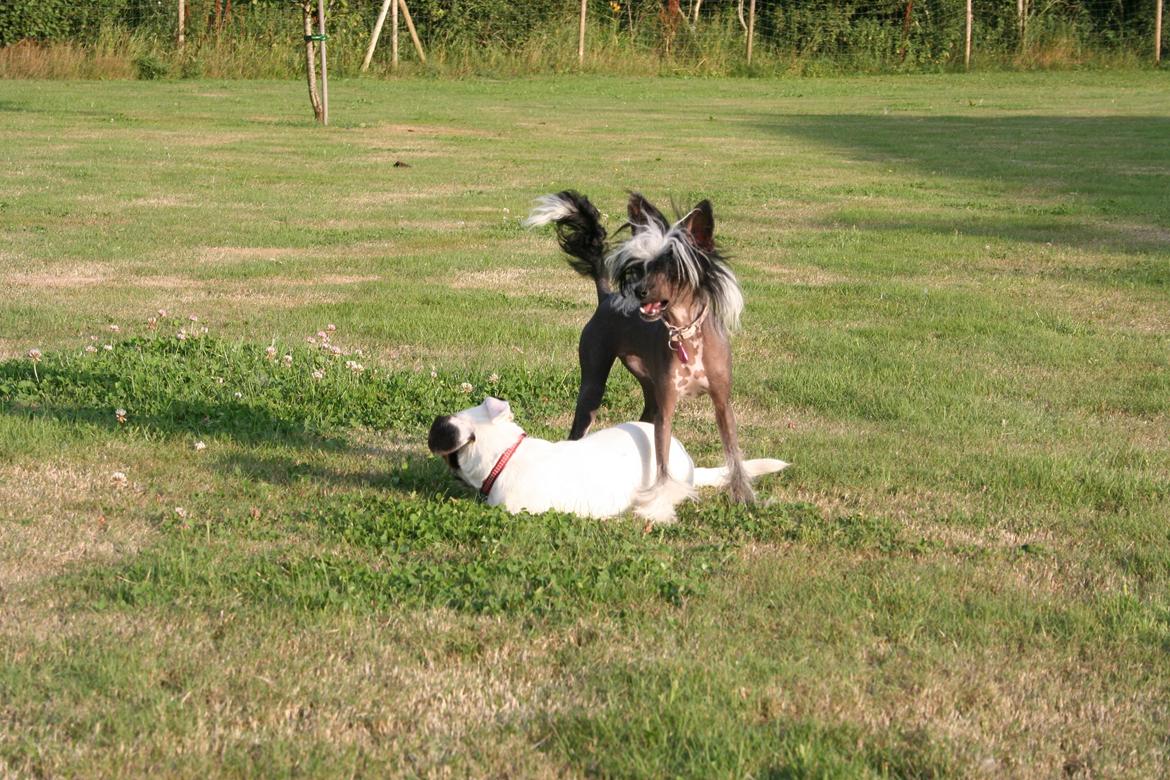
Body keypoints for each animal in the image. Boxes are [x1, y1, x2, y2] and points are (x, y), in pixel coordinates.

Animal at [531, 189, 758, 523]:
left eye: (672, 269)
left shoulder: (721, 403)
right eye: (644, 266)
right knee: (580, 426)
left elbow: (733, 453)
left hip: (648, 389)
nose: (639, 291)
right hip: (594, 385)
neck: (685, 334)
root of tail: (606, 296)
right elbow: (663, 464)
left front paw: (742, 496)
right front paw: (660, 504)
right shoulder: (666, 409)